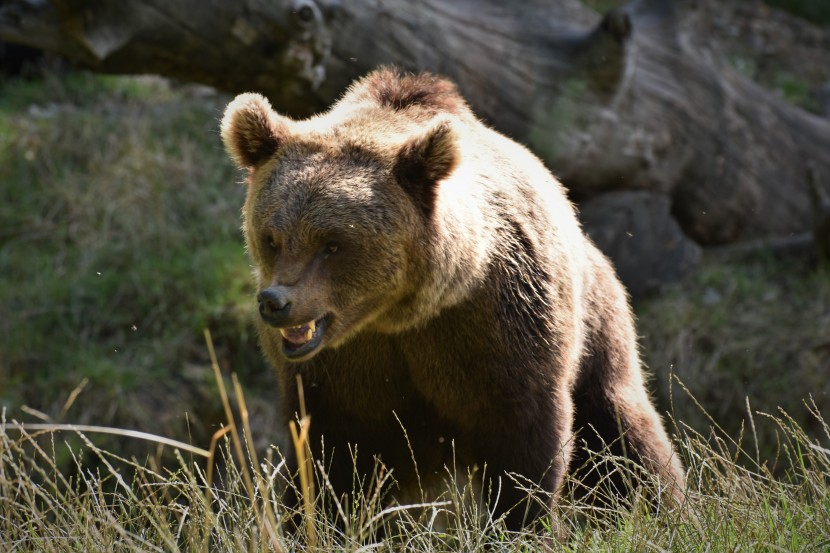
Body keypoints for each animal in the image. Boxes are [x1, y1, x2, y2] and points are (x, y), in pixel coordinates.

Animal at [219, 67, 684, 528]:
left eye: (333, 244)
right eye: (273, 238)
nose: (276, 302)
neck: (396, 315)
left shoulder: (496, 327)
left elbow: (524, 441)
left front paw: (521, 523)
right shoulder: (340, 373)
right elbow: (330, 461)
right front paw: (319, 523)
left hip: (598, 328)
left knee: (622, 440)